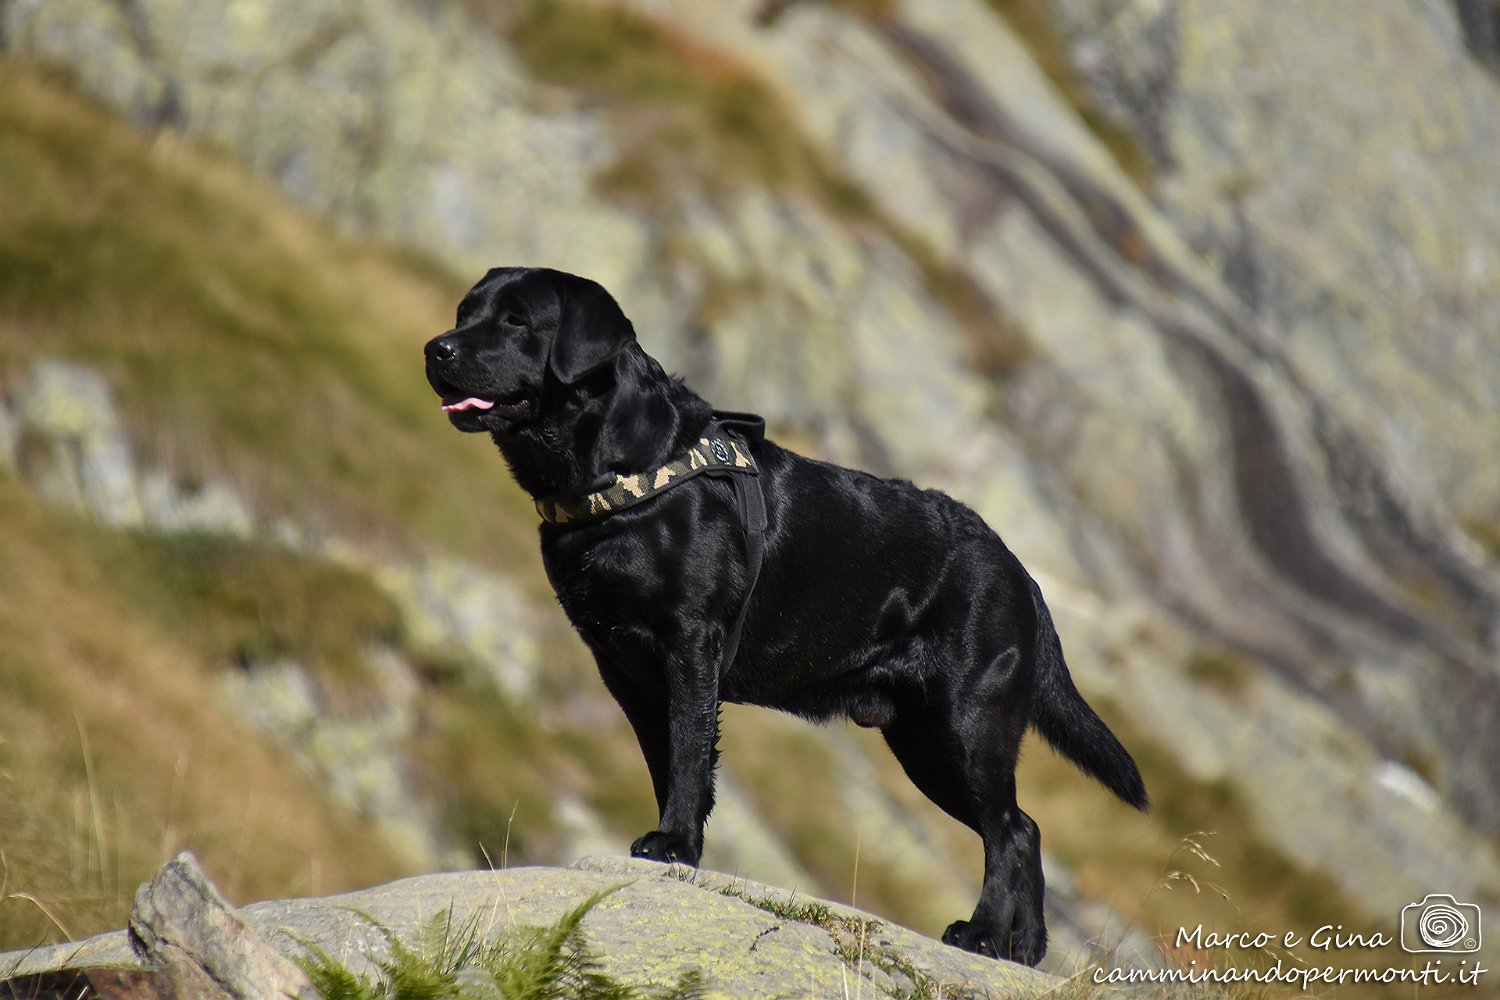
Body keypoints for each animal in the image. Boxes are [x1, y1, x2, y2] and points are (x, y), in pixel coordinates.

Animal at [423, 268, 1146, 971]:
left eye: (516, 320)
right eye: (465, 312)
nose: (438, 348)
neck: (625, 476)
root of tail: (1022, 574)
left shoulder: (690, 645)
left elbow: (688, 754)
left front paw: (674, 844)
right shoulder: (623, 669)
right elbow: (666, 759)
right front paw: (678, 843)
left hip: (963, 725)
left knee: (1009, 830)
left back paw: (985, 936)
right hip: (922, 742)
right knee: (1026, 828)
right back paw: (1024, 949)